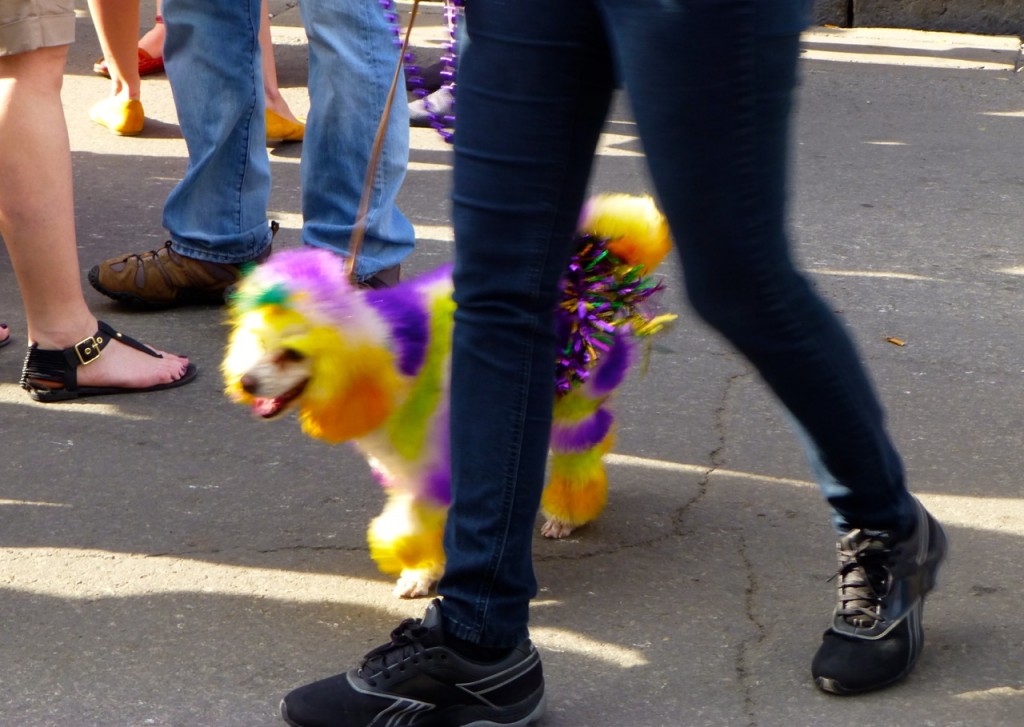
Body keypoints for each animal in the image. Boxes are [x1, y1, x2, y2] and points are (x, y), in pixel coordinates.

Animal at [223, 195, 671, 597]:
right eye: (258, 341)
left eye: (293, 354)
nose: (246, 384)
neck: (386, 362)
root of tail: (593, 261)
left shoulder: (427, 468)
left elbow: (413, 526)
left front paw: (418, 572)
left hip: (575, 396)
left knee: (578, 451)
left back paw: (567, 514)